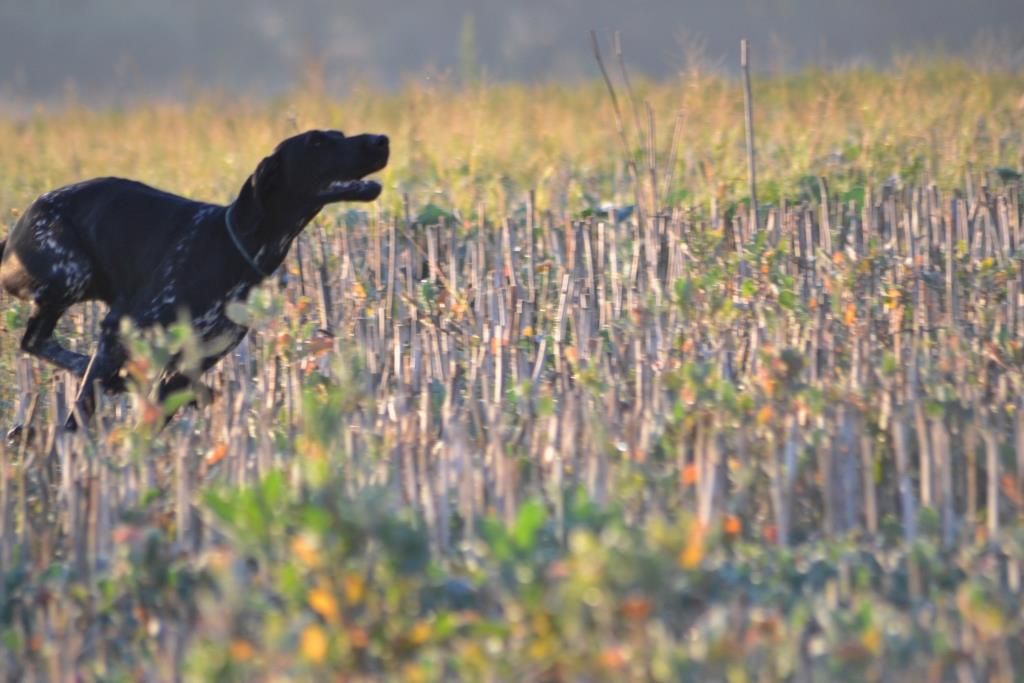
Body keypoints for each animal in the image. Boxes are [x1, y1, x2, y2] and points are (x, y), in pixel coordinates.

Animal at [1, 129, 389, 430]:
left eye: (339, 134)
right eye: (317, 142)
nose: (381, 140)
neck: (235, 246)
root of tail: (14, 232)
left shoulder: (188, 370)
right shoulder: (120, 330)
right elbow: (79, 413)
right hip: (73, 272)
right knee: (34, 340)